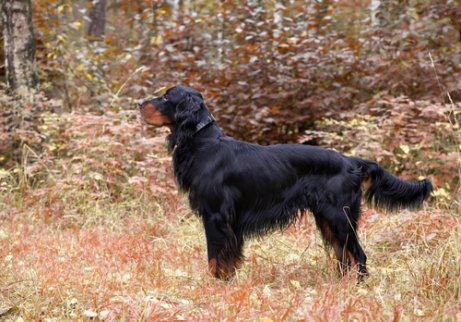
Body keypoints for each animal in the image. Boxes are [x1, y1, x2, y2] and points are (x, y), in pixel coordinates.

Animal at [137, 85, 432, 280]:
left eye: (166, 96)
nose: (138, 102)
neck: (203, 143)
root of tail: (352, 162)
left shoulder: (216, 216)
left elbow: (215, 256)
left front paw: (216, 285)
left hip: (338, 216)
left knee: (358, 255)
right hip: (328, 219)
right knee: (344, 257)